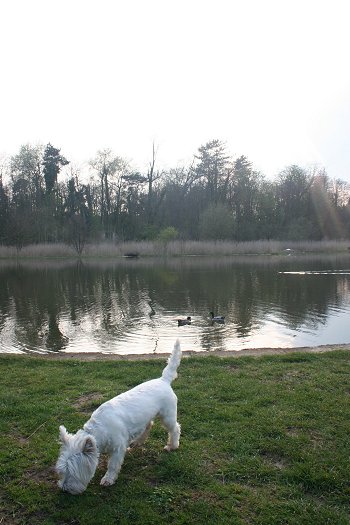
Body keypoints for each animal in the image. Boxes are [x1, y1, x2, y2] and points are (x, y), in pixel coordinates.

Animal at [56, 338, 182, 494]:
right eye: (61, 471)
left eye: (72, 472)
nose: (64, 489)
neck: (99, 430)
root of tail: (163, 380)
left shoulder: (118, 448)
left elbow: (113, 465)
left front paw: (108, 479)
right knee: (149, 425)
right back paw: (138, 442)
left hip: (167, 415)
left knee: (175, 429)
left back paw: (172, 446)